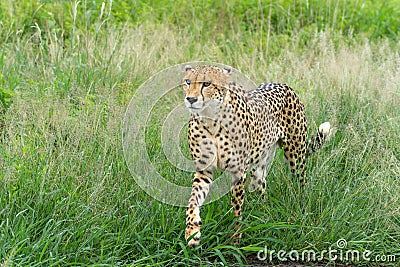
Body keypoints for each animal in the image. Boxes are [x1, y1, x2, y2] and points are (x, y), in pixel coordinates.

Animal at [182, 65, 332, 249]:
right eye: (188, 82)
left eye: (207, 83)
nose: (190, 99)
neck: (211, 119)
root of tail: (283, 84)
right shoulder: (204, 170)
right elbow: (193, 201)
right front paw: (192, 232)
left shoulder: (239, 172)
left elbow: (237, 208)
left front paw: (235, 239)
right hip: (259, 167)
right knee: (262, 189)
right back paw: (265, 214)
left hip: (295, 155)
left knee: (301, 182)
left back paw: (301, 207)